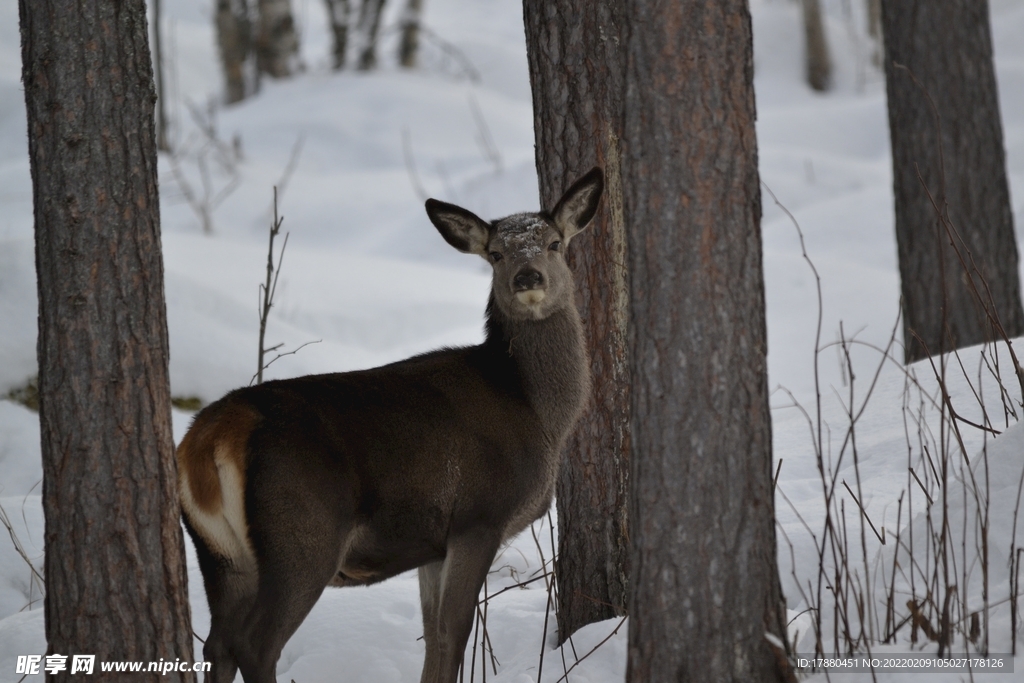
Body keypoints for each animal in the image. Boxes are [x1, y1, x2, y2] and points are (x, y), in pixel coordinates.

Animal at [178, 166, 598, 683]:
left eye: (555, 243)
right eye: (496, 253)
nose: (527, 277)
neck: (537, 413)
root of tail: (209, 436)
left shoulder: (433, 545)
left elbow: (434, 638)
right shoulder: (479, 516)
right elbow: (455, 633)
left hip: (219, 553)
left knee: (216, 643)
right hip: (301, 535)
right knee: (255, 643)